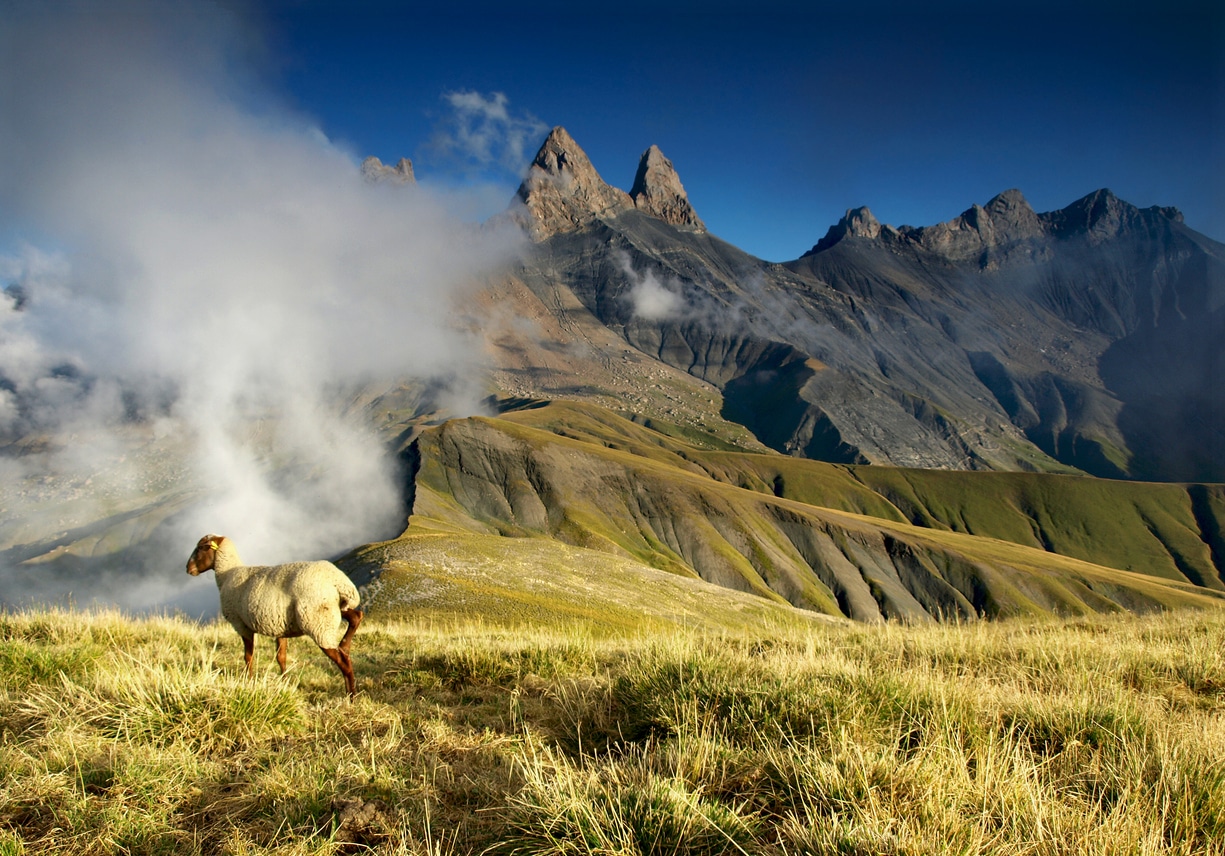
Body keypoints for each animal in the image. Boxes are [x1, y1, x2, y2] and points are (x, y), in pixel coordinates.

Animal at [183, 536, 360, 695]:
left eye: (201, 547)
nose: (187, 569)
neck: (227, 574)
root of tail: (340, 582)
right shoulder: (280, 627)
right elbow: (281, 657)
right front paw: (285, 682)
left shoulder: (241, 625)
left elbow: (248, 656)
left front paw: (249, 681)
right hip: (335, 609)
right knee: (357, 617)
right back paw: (345, 645)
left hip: (318, 622)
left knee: (344, 660)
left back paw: (350, 696)